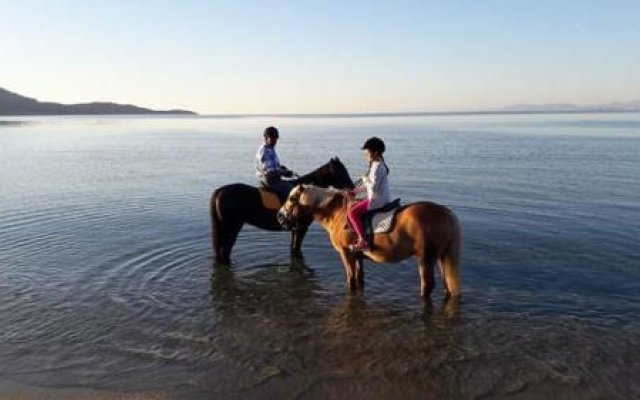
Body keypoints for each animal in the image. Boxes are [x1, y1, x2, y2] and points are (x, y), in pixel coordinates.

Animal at [210, 158, 352, 264]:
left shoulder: (296, 229)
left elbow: (293, 250)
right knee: (225, 250)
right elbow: (295, 249)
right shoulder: (301, 228)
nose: (351, 187)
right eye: (341, 171)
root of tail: (219, 192)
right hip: (231, 228)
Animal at [278, 184, 460, 296]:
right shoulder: (358, 256)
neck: (338, 213)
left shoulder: (346, 254)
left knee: (427, 285)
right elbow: (359, 279)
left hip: (426, 258)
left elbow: (351, 280)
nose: (280, 216)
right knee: (447, 285)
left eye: (292, 199)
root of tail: (445, 213)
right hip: (441, 257)